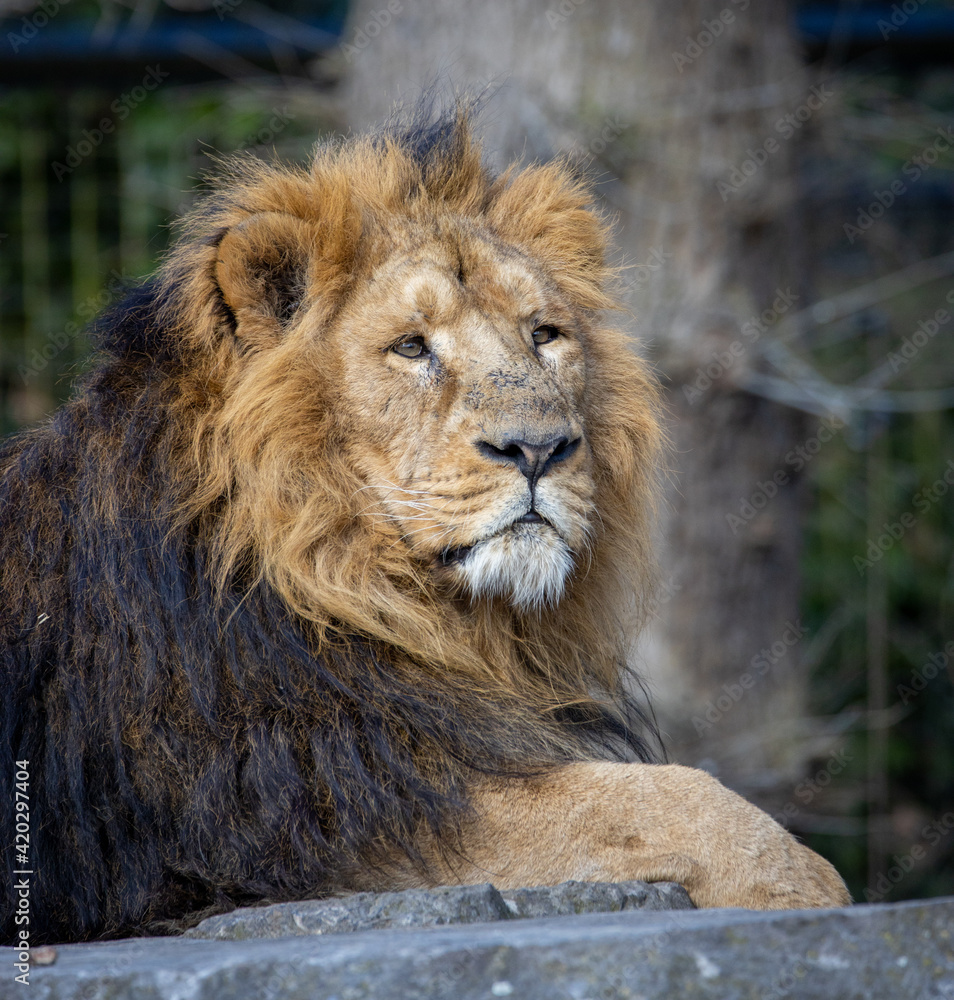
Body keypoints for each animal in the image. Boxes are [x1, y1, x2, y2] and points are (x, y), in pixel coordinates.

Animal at [0, 105, 848, 940]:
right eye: (411, 347)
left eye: (545, 335)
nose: (539, 447)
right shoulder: (334, 799)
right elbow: (661, 799)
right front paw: (811, 890)